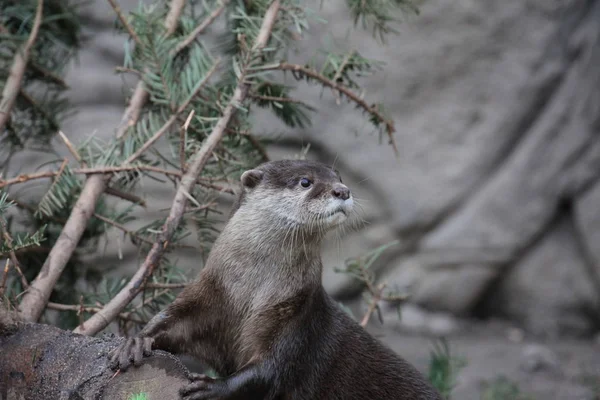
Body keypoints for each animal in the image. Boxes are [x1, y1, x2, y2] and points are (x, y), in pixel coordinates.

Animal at [110, 160, 442, 400]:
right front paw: (137, 340)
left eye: (339, 176)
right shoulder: (211, 293)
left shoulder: (298, 317)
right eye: (305, 181)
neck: (250, 292)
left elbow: (268, 370)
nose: (343, 190)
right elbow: (176, 321)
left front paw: (210, 387)